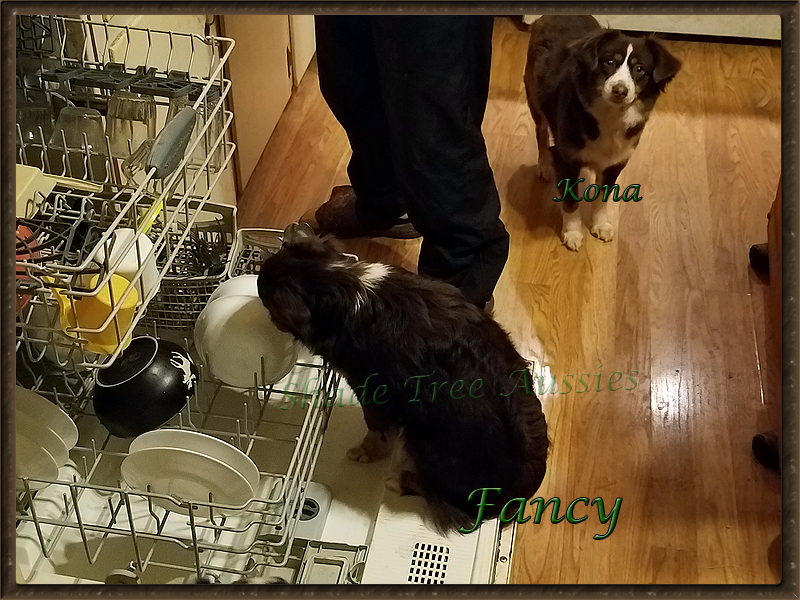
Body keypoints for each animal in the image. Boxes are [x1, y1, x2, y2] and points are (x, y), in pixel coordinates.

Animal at [258, 231, 552, 536]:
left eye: (266, 301)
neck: (341, 283)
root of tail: (514, 497)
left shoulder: (373, 392)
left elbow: (376, 433)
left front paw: (364, 452)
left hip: (423, 441)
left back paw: (399, 480)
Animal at [524, 15, 680, 251]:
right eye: (609, 62)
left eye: (640, 69)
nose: (620, 91)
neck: (610, 116)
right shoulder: (566, 157)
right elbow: (570, 201)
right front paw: (572, 232)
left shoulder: (616, 162)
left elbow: (602, 197)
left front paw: (601, 224)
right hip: (535, 99)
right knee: (541, 134)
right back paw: (544, 165)